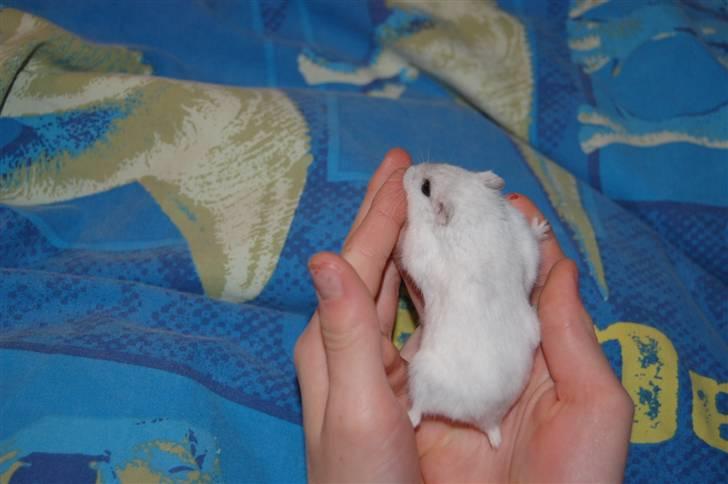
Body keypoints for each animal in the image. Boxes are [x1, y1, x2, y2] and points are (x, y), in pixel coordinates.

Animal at [399, 163, 548, 449]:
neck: (474, 214)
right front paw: (541, 227)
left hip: (420, 373)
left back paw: (407, 416)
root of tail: (489, 421)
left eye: (425, 187)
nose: (408, 169)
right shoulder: (522, 237)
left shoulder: (418, 249)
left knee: (418, 410)